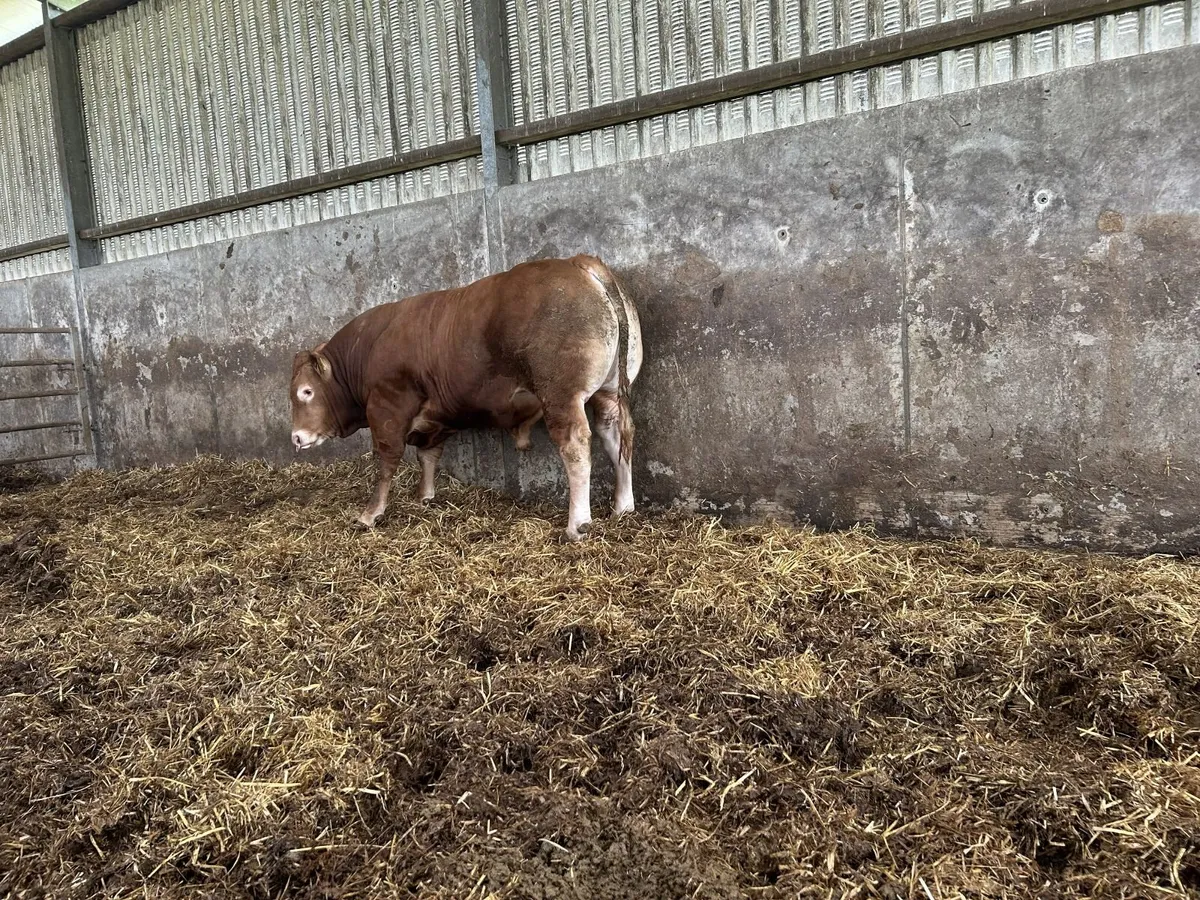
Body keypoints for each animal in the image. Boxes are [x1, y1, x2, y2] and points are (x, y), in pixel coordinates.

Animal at [289, 255, 643, 542]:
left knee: (576, 447)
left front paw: (369, 514)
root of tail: (578, 262)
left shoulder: (387, 407)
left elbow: (386, 462)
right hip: (610, 390)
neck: (368, 349)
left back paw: (577, 525)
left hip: (561, 395)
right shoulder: (436, 417)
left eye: (306, 391)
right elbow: (428, 455)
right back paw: (623, 506)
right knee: (617, 437)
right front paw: (425, 497)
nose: (296, 437)